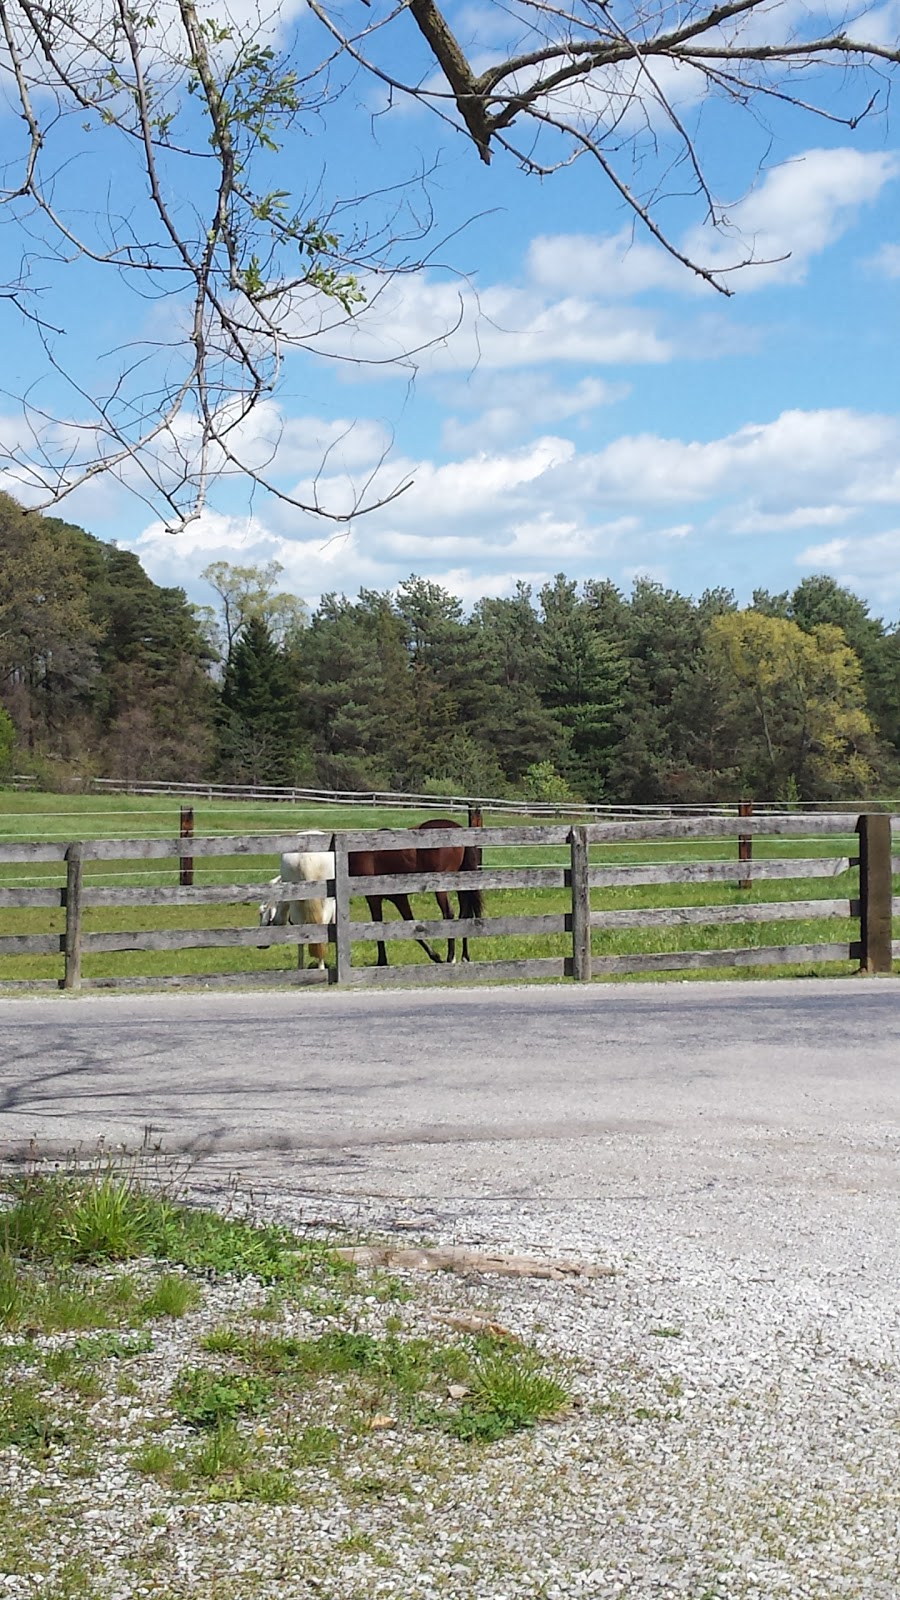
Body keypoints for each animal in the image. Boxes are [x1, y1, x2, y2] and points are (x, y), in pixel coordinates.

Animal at [347, 819, 480, 966]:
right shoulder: (399, 898)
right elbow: (410, 922)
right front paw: (435, 955)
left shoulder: (374, 898)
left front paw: (382, 961)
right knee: (465, 915)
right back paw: (465, 957)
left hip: (441, 887)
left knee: (449, 914)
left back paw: (451, 957)